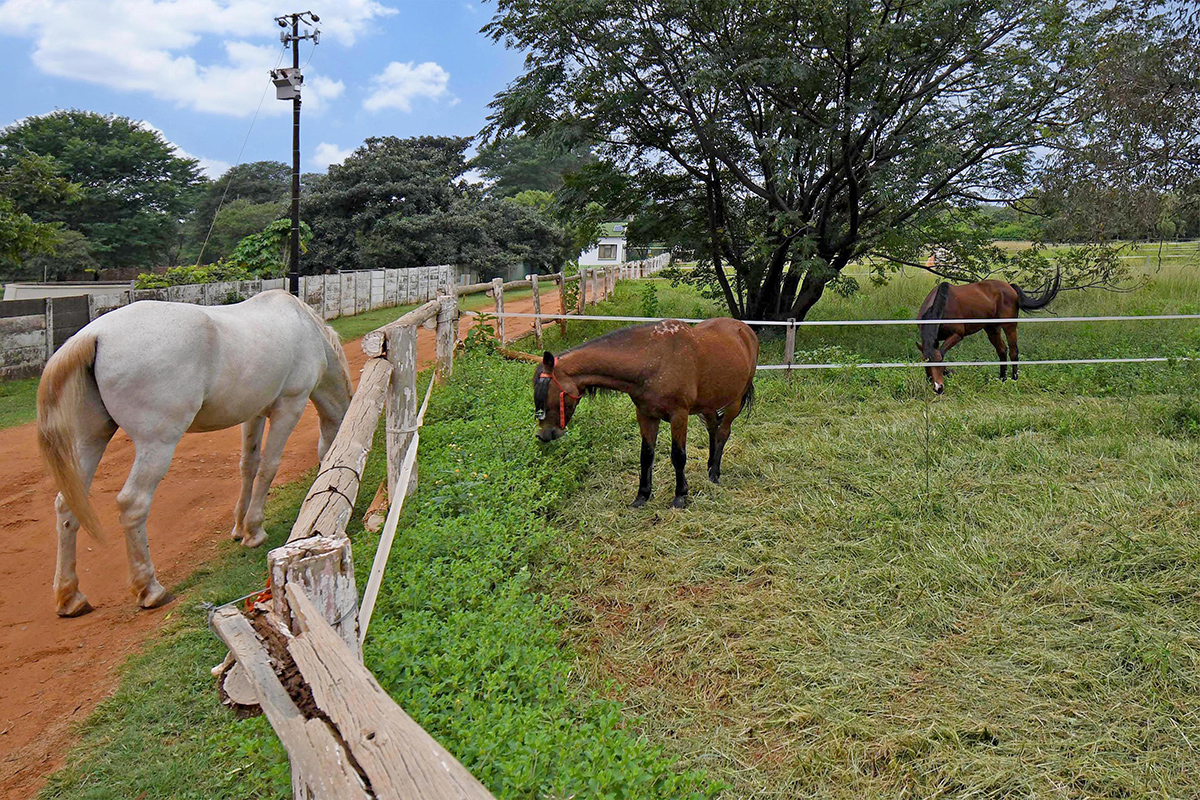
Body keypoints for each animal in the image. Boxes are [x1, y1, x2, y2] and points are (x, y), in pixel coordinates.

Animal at [37, 290, 352, 617]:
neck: (305, 326)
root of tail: (95, 334)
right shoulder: (289, 406)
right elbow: (269, 467)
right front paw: (254, 531)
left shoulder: (253, 413)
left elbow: (248, 465)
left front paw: (239, 526)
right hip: (157, 444)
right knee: (132, 504)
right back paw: (149, 588)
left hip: (90, 441)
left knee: (66, 506)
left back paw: (70, 596)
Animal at [533, 318, 758, 508]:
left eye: (549, 393)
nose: (543, 434)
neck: (653, 361)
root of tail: (746, 330)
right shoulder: (646, 415)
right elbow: (646, 455)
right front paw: (642, 496)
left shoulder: (679, 416)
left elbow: (678, 456)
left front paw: (680, 495)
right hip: (709, 405)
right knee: (713, 430)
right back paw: (710, 467)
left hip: (734, 401)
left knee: (722, 433)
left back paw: (715, 474)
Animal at [916, 272, 1060, 394]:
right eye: (926, 365)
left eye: (939, 364)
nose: (938, 388)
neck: (942, 305)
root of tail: (1010, 287)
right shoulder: (934, 340)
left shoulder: (957, 335)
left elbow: (941, 352)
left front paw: (948, 372)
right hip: (992, 328)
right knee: (1002, 350)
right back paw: (1002, 379)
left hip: (1010, 326)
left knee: (1013, 351)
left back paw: (1014, 380)